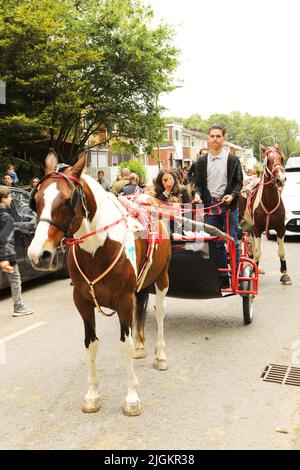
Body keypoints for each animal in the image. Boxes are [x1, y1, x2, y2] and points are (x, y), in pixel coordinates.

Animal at [27, 150, 171, 414]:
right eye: (37, 200)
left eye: (67, 200)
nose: (38, 254)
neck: (99, 248)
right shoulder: (82, 302)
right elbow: (90, 344)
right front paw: (92, 394)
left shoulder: (123, 301)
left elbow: (123, 344)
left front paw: (131, 396)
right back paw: (141, 347)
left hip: (162, 276)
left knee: (159, 313)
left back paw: (161, 355)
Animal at [239, 145, 290, 284]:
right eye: (268, 160)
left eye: (281, 158)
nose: (280, 179)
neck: (269, 201)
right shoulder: (257, 228)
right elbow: (258, 252)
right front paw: (252, 273)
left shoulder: (281, 228)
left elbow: (281, 252)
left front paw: (285, 274)